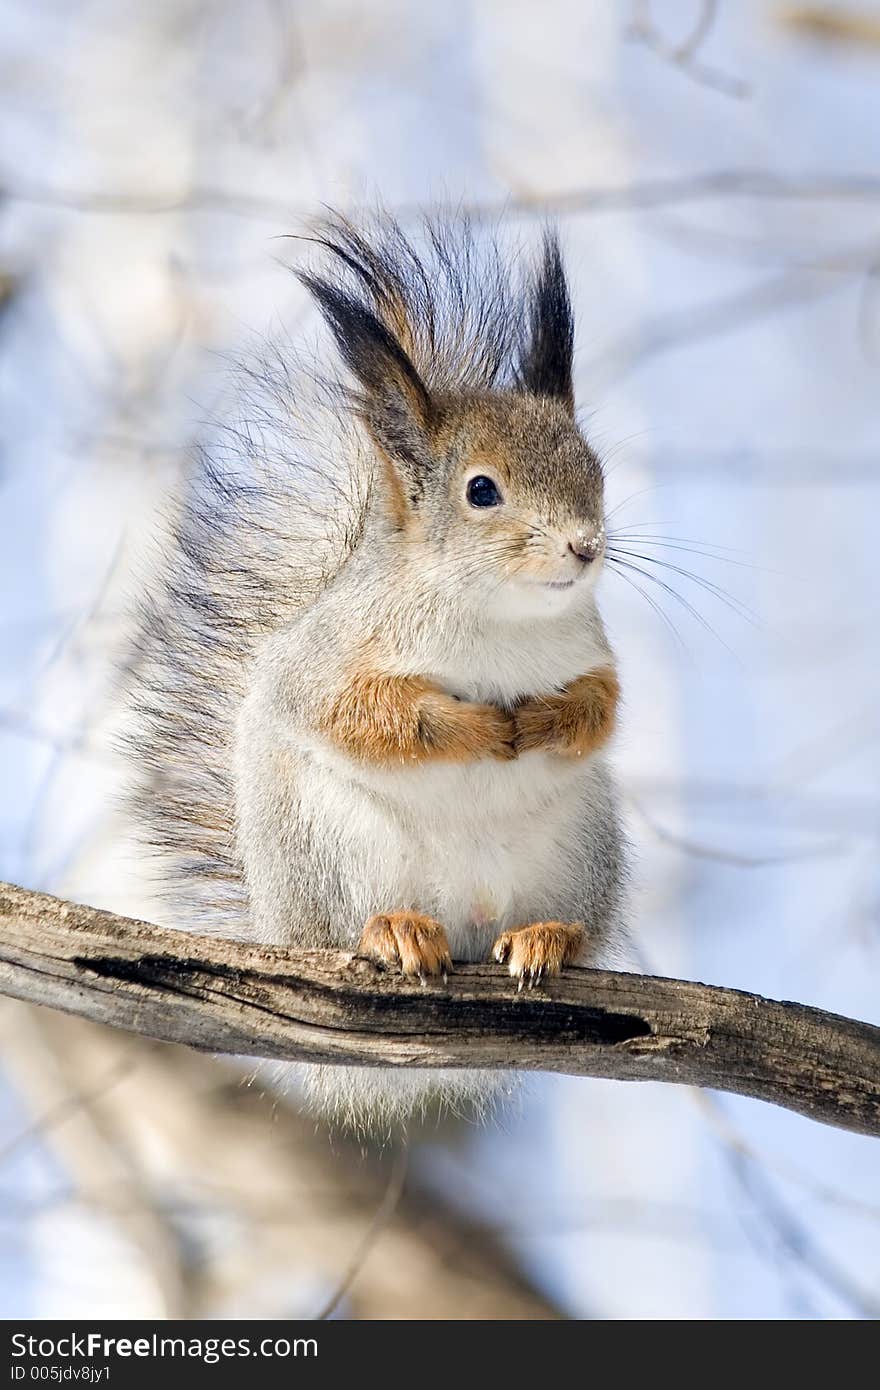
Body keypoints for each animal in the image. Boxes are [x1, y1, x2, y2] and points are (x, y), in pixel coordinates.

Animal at [128, 214, 625, 1128]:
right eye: (481, 491)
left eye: (593, 468)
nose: (585, 547)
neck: (498, 617)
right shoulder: (324, 664)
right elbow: (360, 716)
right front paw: (472, 726)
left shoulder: (593, 650)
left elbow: (602, 707)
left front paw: (546, 720)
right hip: (329, 847)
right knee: (344, 931)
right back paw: (393, 932)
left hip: (580, 845)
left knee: (572, 926)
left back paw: (548, 937)